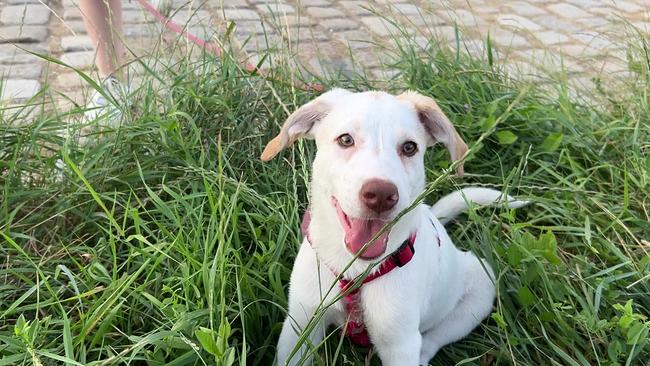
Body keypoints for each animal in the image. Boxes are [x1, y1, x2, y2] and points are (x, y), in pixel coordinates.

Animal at [260, 89, 524, 366]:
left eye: (409, 147)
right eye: (345, 140)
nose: (381, 195)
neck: (356, 271)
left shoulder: (399, 344)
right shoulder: (300, 324)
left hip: (481, 287)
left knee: (433, 339)